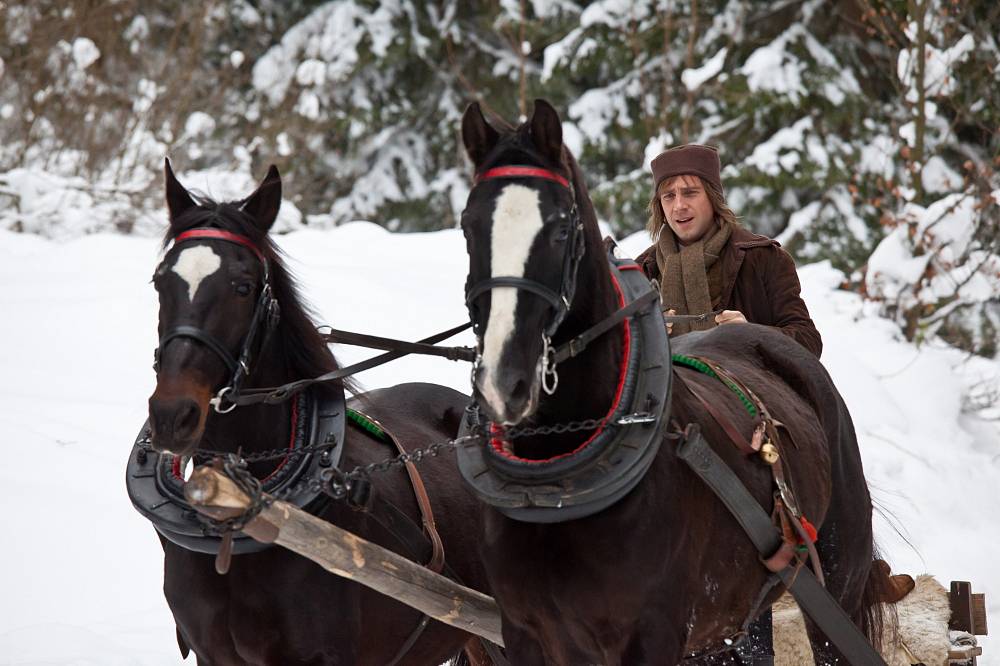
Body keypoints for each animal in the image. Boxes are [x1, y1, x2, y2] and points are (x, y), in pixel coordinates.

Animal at [458, 100, 888, 664]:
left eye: (558, 230)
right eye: (468, 226)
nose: (503, 380)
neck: (558, 484)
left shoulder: (653, 632)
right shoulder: (527, 633)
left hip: (836, 580)